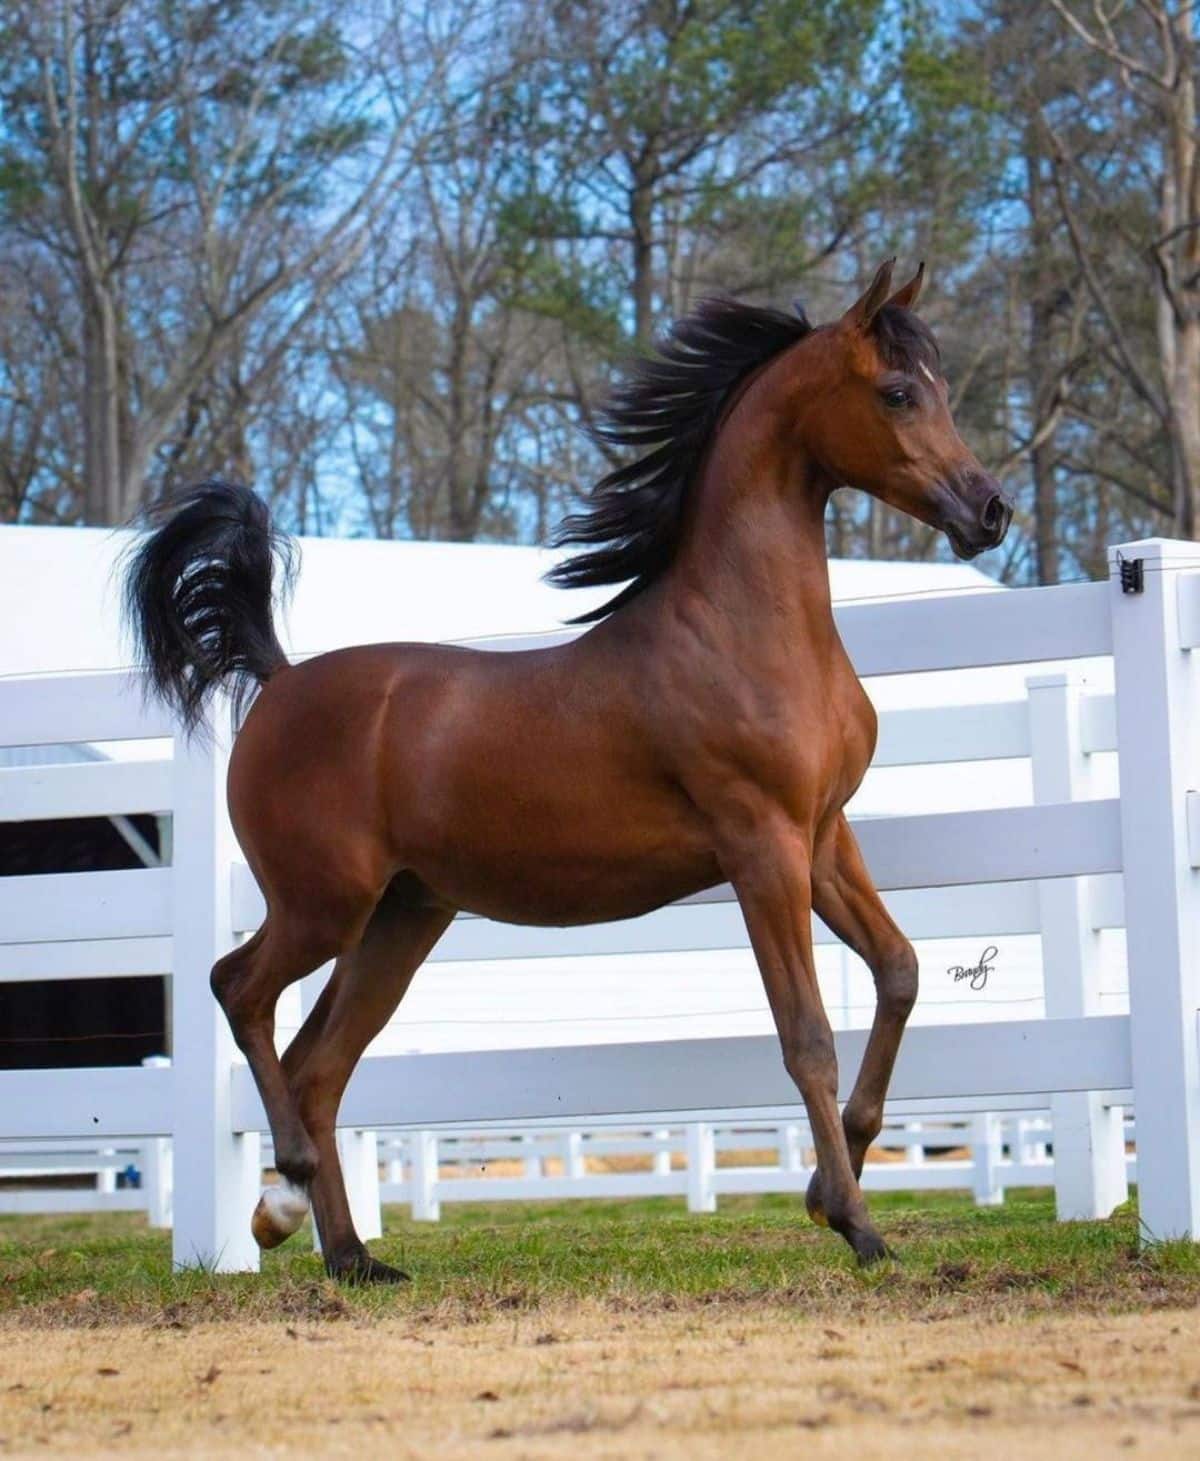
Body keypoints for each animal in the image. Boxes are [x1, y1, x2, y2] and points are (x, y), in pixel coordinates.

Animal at [126, 260, 1011, 1279]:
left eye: (941, 387)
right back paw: (284, 1194)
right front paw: (859, 1225)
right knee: (239, 989)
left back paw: (352, 1254)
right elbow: (807, 1037)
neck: (743, 629)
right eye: (898, 391)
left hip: (400, 917)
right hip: (322, 904)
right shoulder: (763, 849)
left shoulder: (824, 839)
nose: (990, 512)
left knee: (319, 1065)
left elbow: (899, 972)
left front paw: (832, 1187)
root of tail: (277, 677)